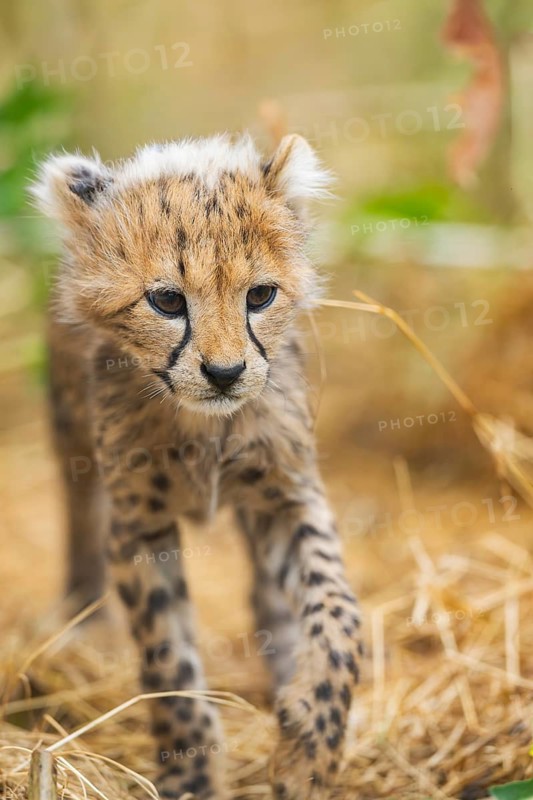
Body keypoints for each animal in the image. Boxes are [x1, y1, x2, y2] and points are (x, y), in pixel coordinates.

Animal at [32, 133, 364, 800]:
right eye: (166, 301)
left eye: (259, 296)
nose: (226, 373)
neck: (207, 427)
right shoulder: (138, 525)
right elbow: (168, 655)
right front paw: (189, 771)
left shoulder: (287, 493)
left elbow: (338, 609)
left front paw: (312, 741)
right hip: (72, 443)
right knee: (79, 521)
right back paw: (81, 614)